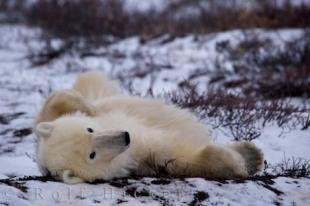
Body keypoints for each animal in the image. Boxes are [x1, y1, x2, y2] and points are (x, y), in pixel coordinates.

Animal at [34, 72, 262, 183]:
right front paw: (247, 160)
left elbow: (52, 107)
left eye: (89, 130)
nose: (125, 136)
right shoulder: (141, 158)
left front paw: (87, 106)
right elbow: (176, 157)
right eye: (92, 155)